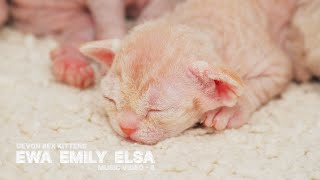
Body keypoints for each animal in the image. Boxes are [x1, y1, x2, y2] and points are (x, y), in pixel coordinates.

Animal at [79, 0, 298, 143]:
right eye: (110, 100)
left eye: (157, 110)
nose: (126, 126)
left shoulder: (275, 63)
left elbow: (259, 84)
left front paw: (231, 109)